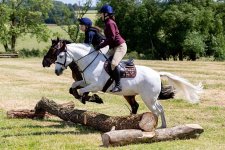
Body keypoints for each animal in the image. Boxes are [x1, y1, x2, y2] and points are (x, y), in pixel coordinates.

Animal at [54, 42, 202, 127]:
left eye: (60, 56)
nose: (57, 71)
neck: (91, 62)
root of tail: (157, 74)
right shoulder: (85, 81)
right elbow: (74, 85)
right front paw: (81, 96)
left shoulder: (95, 86)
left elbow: (83, 90)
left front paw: (88, 98)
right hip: (151, 98)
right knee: (160, 108)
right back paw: (163, 126)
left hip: (148, 98)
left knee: (156, 111)